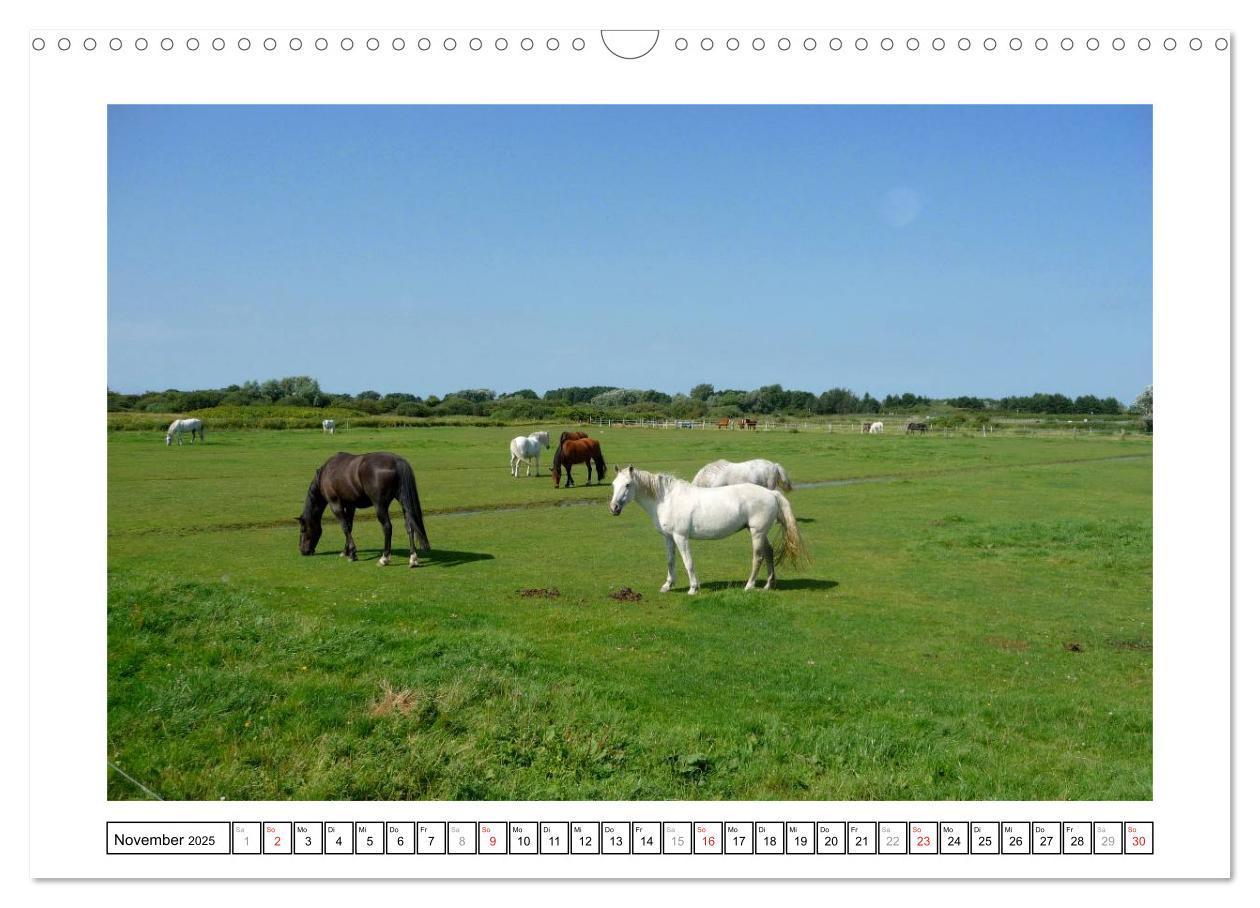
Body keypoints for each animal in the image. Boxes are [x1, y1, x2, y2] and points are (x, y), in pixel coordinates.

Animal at [298, 448, 433, 564]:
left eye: (302, 529)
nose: (303, 550)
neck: (326, 473)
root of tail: (397, 461)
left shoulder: (335, 504)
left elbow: (344, 527)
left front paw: (352, 553)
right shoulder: (350, 505)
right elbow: (350, 526)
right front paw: (346, 551)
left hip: (380, 506)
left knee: (387, 527)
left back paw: (384, 558)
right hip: (403, 502)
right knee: (409, 526)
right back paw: (413, 558)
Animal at [609, 463, 806, 591]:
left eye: (627, 484)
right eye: (613, 484)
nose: (614, 508)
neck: (667, 499)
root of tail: (771, 493)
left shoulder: (681, 537)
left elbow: (688, 562)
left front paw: (693, 588)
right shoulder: (668, 537)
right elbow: (670, 560)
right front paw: (668, 585)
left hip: (757, 533)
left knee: (758, 557)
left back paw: (749, 586)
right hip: (761, 533)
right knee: (769, 553)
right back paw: (768, 585)